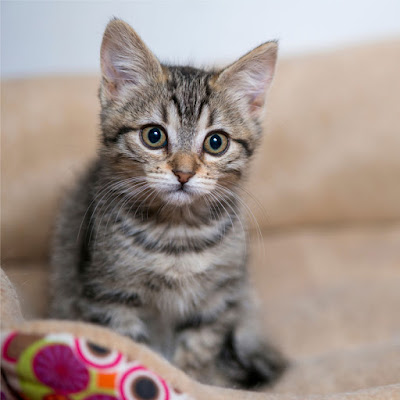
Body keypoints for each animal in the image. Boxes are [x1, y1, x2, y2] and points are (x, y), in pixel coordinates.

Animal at [50, 18, 288, 388]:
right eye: (154, 136)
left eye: (216, 142)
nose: (184, 172)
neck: (177, 232)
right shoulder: (109, 295)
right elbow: (133, 351)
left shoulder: (216, 300)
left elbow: (198, 351)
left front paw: (194, 383)